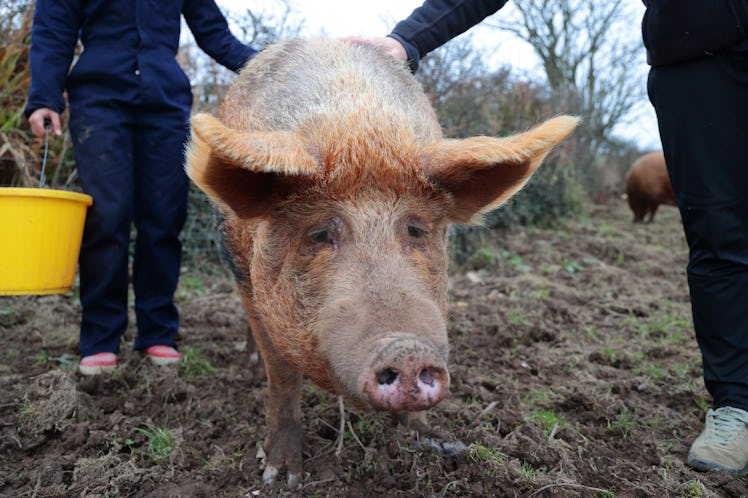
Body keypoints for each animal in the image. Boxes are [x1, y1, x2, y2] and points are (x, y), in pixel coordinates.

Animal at [186, 38, 580, 486]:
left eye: (416, 228)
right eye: (319, 233)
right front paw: (279, 477)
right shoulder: (252, 286)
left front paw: (425, 441)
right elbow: (283, 378)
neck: (354, 121)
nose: (407, 350)